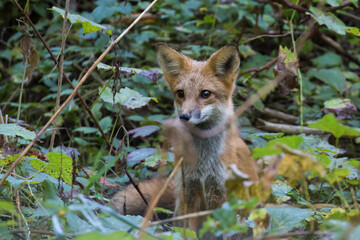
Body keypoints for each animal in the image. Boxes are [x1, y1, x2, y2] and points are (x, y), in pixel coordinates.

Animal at [112, 42, 258, 232]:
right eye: (180, 93)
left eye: (205, 94)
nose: (184, 116)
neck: (204, 163)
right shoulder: (187, 193)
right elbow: (185, 231)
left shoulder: (222, 197)